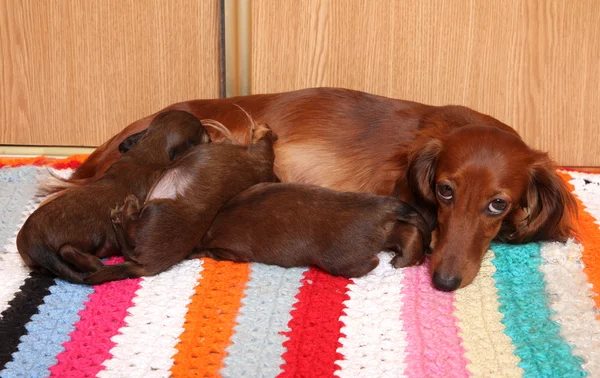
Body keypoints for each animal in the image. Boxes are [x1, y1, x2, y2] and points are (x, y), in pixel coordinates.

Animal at [196, 183, 432, 278]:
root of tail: (380, 206)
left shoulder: (233, 250)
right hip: (388, 231)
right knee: (408, 233)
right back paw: (403, 260)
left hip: (339, 260)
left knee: (370, 262)